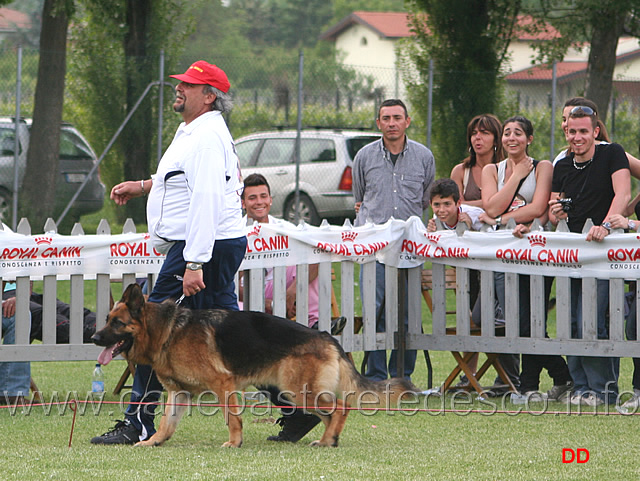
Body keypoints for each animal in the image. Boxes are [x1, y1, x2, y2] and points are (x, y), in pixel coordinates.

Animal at [92, 284, 418, 448]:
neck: (168, 331)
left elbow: (233, 419)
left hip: (297, 389)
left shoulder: (223, 385)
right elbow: (165, 423)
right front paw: (154, 441)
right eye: (107, 320)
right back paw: (328, 438)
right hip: (296, 390)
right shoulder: (178, 394)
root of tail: (327, 335)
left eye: (117, 323)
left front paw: (234, 443)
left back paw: (327, 441)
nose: (94, 337)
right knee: (330, 414)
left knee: (341, 407)